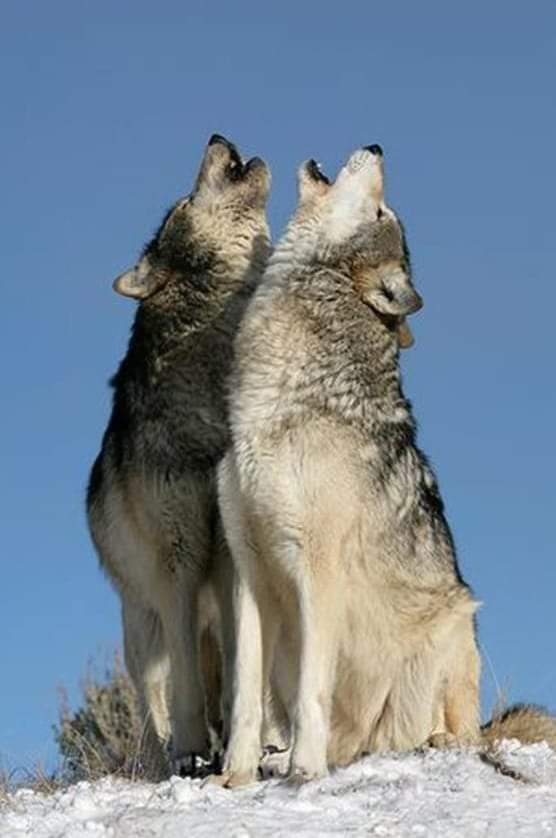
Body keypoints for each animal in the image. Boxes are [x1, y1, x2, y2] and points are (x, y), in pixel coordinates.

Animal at [86, 134, 271, 777]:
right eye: (182, 203)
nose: (219, 137)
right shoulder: (179, 558)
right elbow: (186, 681)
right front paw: (191, 747)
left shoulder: (236, 555)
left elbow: (244, 667)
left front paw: (244, 745)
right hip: (140, 623)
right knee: (151, 697)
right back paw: (155, 757)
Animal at [216, 146, 556, 786]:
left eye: (381, 209)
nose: (376, 147)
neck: (277, 402)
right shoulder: (249, 570)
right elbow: (244, 697)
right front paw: (236, 777)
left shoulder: (318, 567)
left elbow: (312, 690)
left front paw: (305, 771)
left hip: (454, 621)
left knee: (464, 731)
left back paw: (429, 743)